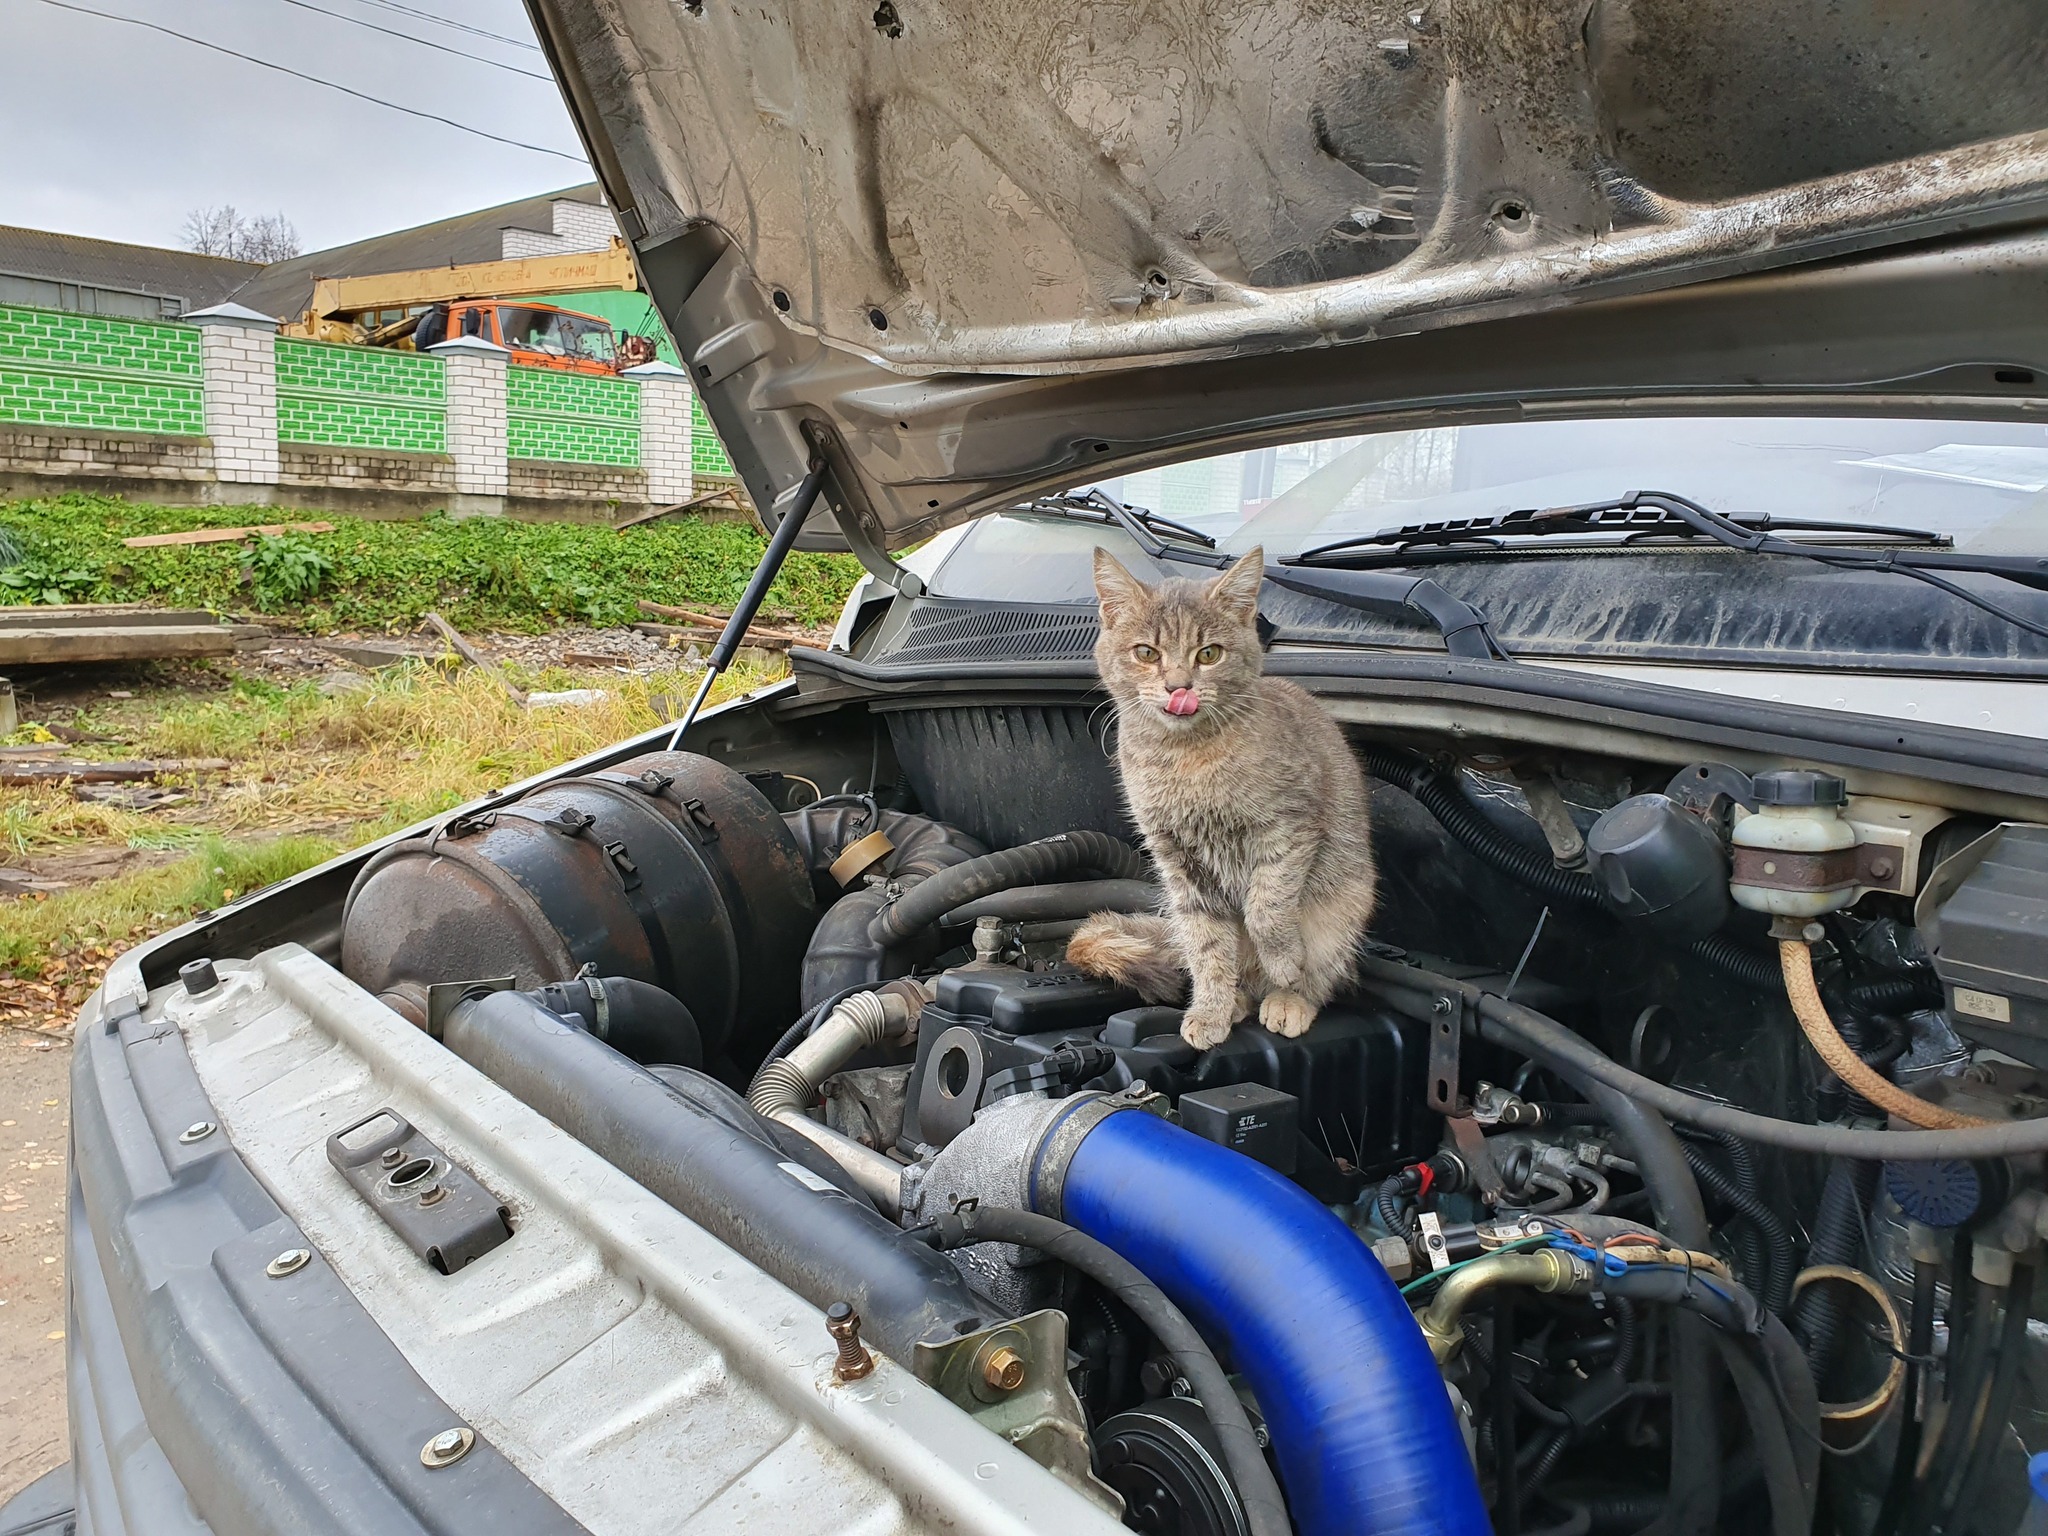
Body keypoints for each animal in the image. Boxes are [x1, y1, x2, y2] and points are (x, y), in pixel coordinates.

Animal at [1073, 548, 1376, 1056]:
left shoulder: (1289, 829)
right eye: (1146, 653)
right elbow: (1207, 946)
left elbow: (1265, 909)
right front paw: (1212, 1008)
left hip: (1344, 908)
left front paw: (1284, 963)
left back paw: (1288, 997)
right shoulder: (1178, 863)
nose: (1178, 687)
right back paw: (1236, 998)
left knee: (1324, 977)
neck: (1186, 759)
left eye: (1209, 654)